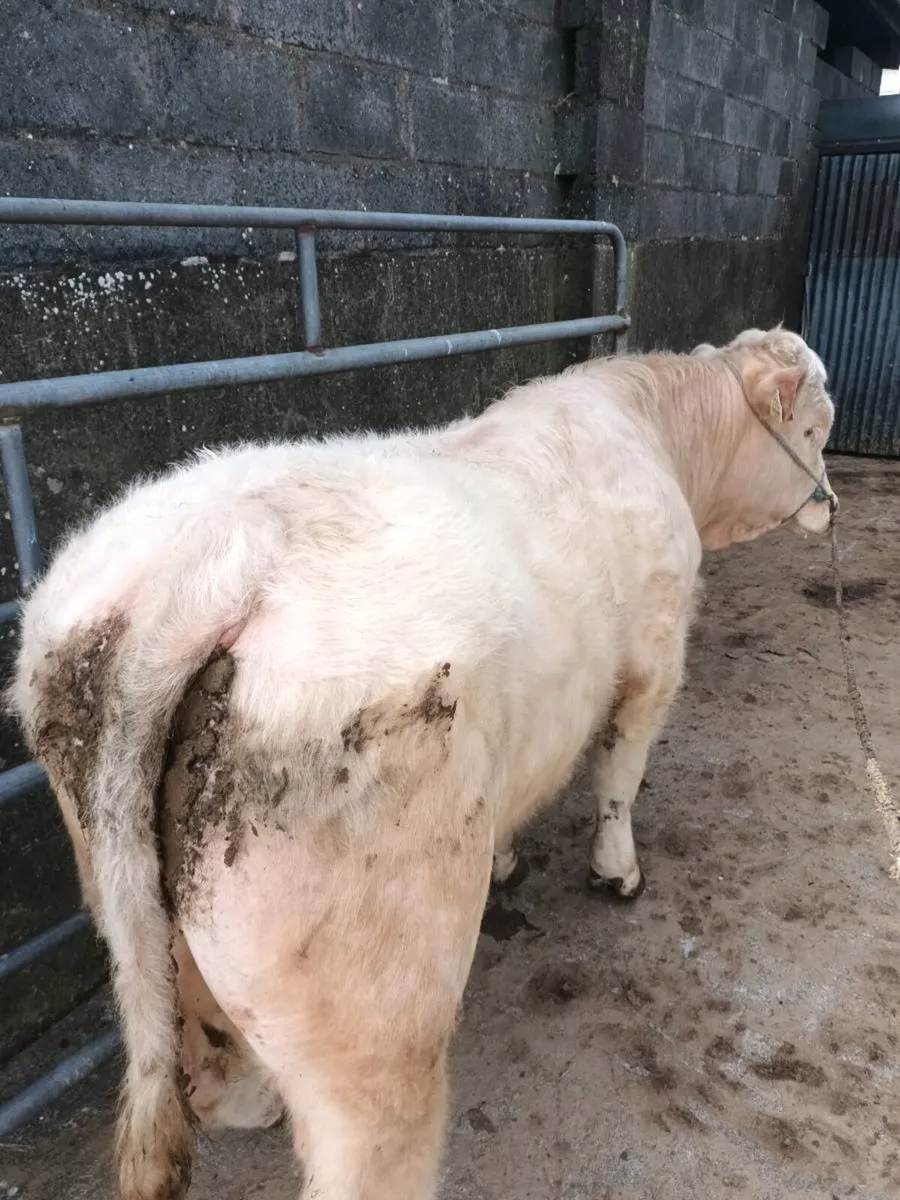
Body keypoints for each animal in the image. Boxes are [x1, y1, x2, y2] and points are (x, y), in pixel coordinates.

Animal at [10, 325, 836, 1200]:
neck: (654, 432)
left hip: (145, 910)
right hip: (383, 1009)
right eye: (816, 428)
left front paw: (507, 856)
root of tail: (210, 562)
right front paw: (618, 871)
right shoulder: (654, 662)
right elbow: (619, 773)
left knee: (202, 1055)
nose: (831, 504)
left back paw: (253, 1093)